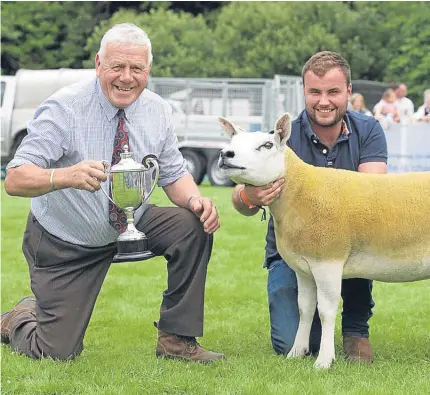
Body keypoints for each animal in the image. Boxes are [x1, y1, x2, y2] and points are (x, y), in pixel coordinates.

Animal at [218, 113, 430, 370]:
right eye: (233, 141)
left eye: (267, 145)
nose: (226, 154)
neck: (300, 192)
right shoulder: (304, 268)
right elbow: (304, 308)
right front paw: (296, 352)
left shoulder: (327, 262)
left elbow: (326, 311)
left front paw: (324, 360)